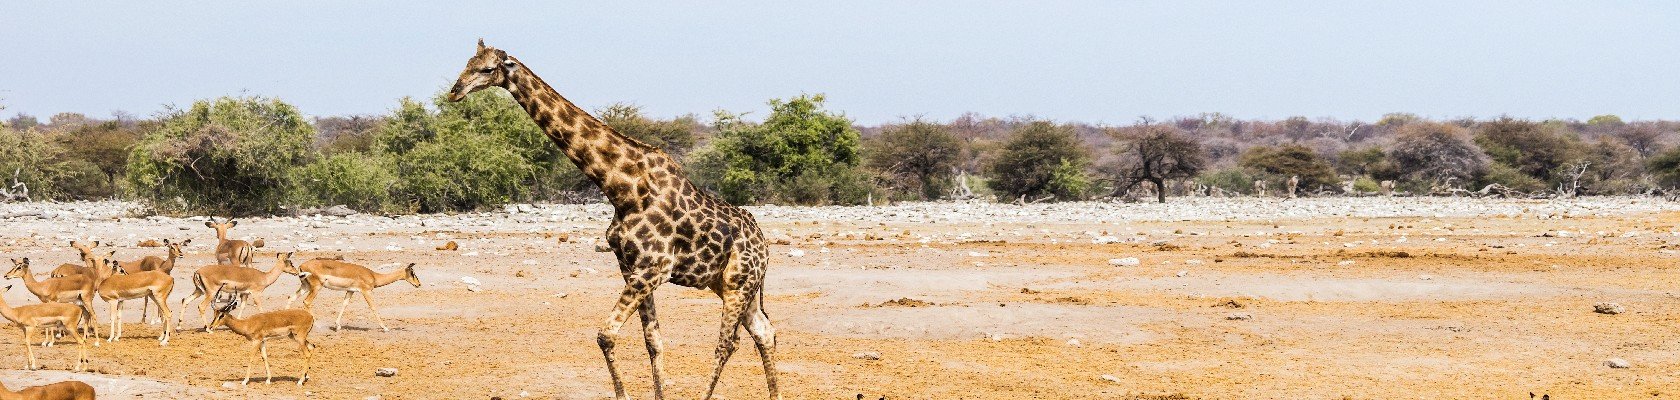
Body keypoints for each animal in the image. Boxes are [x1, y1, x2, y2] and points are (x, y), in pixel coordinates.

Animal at [283, 258, 418, 331]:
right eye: (412, 273)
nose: (418, 284)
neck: (374, 276)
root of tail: (301, 266)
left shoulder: (350, 291)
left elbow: (344, 304)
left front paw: (337, 326)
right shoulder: (366, 291)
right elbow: (373, 307)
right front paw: (385, 328)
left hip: (305, 286)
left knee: (291, 297)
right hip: (316, 287)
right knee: (307, 302)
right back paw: (317, 326)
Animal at [450, 38, 782, 400]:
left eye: (486, 69)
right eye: (466, 63)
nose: (454, 91)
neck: (622, 189)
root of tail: (764, 246)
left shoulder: (652, 269)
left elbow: (606, 334)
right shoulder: (631, 268)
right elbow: (653, 341)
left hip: (739, 282)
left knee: (727, 343)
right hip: (727, 283)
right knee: (764, 331)